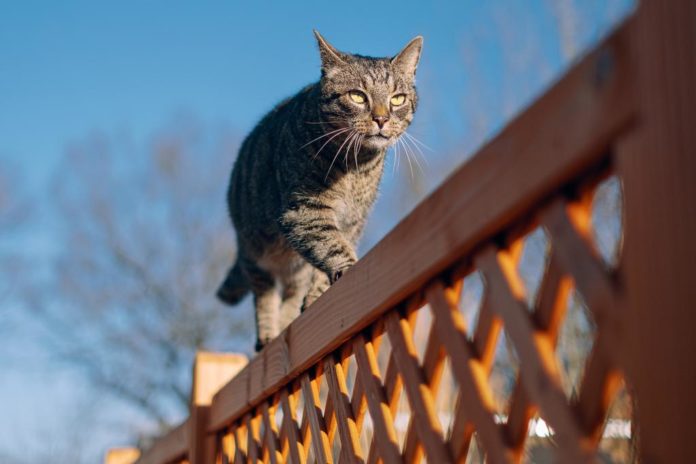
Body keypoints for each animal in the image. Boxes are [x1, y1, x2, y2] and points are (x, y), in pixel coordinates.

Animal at [218, 30, 424, 350]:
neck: (356, 167)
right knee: (264, 294)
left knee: (291, 292)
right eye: (357, 96)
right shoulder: (303, 210)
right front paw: (349, 268)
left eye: (397, 99)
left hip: (290, 266)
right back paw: (268, 334)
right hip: (253, 252)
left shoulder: (353, 221)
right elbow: (331, 245)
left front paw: (318, 294)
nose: (381, 119)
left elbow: (328, 256)